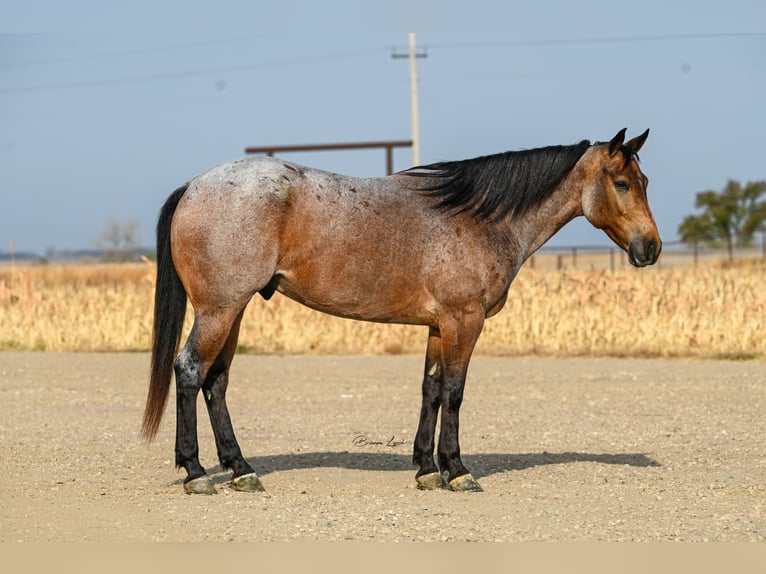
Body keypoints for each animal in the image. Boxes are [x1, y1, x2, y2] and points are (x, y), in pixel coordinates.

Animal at [141, 129, 664, 496]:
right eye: (622, 183)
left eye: (645, 182)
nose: (651, 248)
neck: (479, 218)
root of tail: (194, 186)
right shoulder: (463, 321)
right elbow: (454, 392)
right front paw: (458, 470)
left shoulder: (438, 326)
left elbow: (430, 390)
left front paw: (427, 469)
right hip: (219, 310)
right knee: (190, 371)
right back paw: (196, 472)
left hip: (233, 311)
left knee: (216, 382)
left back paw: (241, 470)